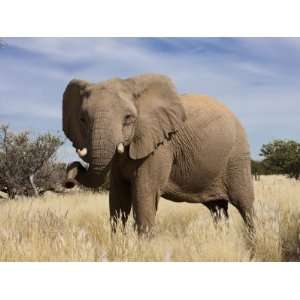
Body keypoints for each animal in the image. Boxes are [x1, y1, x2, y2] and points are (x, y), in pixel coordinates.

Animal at [63, 74, 255, 236]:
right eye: (82, 119)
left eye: (128, 118)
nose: (69, 180)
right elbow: (118, 200)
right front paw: (118, 244)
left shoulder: (160, 146)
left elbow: (144, 196)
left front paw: (142, 249)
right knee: (218, 209)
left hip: (237, 156)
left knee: (245, 205)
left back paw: (252, 240)